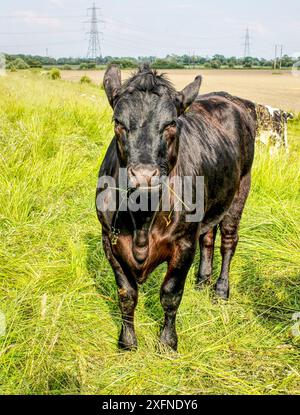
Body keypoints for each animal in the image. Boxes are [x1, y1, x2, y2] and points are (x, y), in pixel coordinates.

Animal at [96, 65, 255, 352]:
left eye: (170, 124)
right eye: (118, 122)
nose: (144, 175)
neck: (142, 219)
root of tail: (229, 98)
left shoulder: (183, 243)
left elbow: (170, 293)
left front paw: (168, 342)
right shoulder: (109, 241)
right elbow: (126, 293)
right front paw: (127, 342)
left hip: (240, 191)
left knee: (228, 241)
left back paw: (220, 290)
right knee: (208, 238)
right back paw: (202, 281)